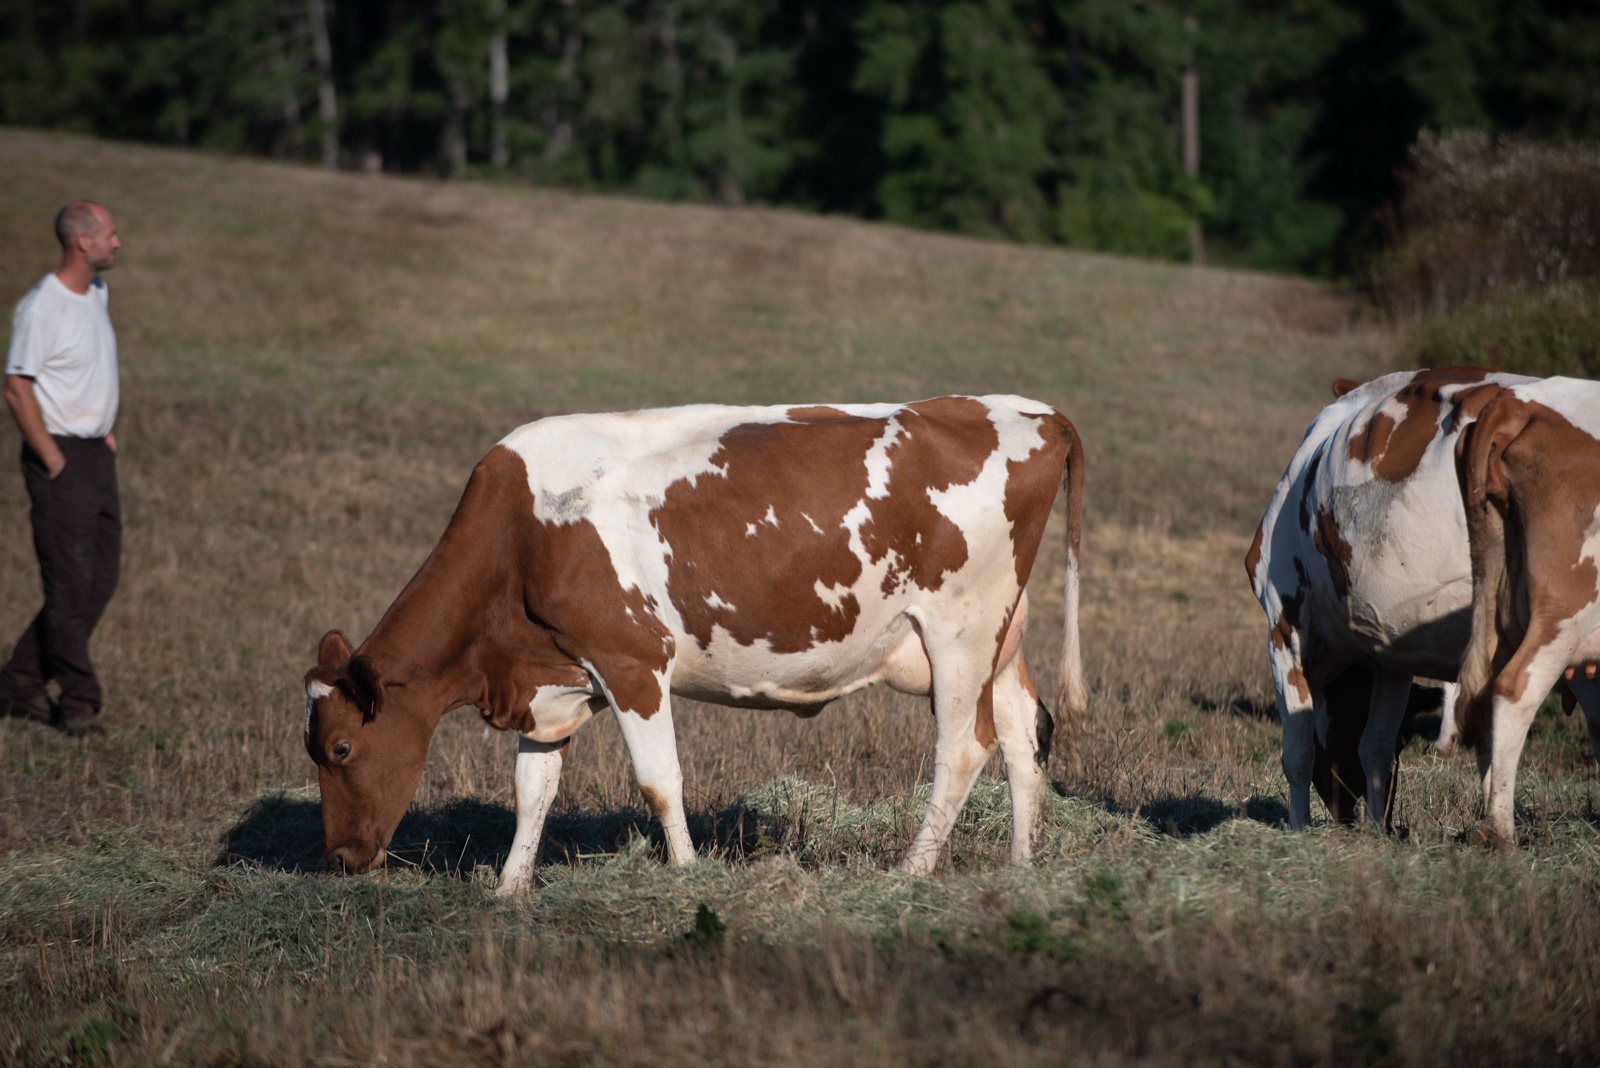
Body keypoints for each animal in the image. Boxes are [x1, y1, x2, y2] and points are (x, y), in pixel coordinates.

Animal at [303, 395, 1087, 891]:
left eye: (341, 748)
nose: (337, 858)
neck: (521, 535)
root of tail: (1027, 410)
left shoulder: (632, 662)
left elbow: (658, 781)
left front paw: (684, 872)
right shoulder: (554, 678)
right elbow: (533, 790)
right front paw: (509, 888)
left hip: (960, 630)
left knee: (964, 748)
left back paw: (912, 870)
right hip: (999, 640)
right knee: (1022, 735)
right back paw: (1022, 867)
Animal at [1246, 367, 1538, 831]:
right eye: (1406, 737)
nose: (1348, 814)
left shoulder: (1282, 621)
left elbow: (1298, 751)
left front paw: (1298, 829)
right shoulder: (1393, 649)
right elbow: (1375, 747)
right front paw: (1375, 833)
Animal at [1453, 377, 1600, 845]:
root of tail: (1516, 400)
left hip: (1495, 597)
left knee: (1483, 692)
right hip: (1568, 608)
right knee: (1515, 688)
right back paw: (1500, 833)